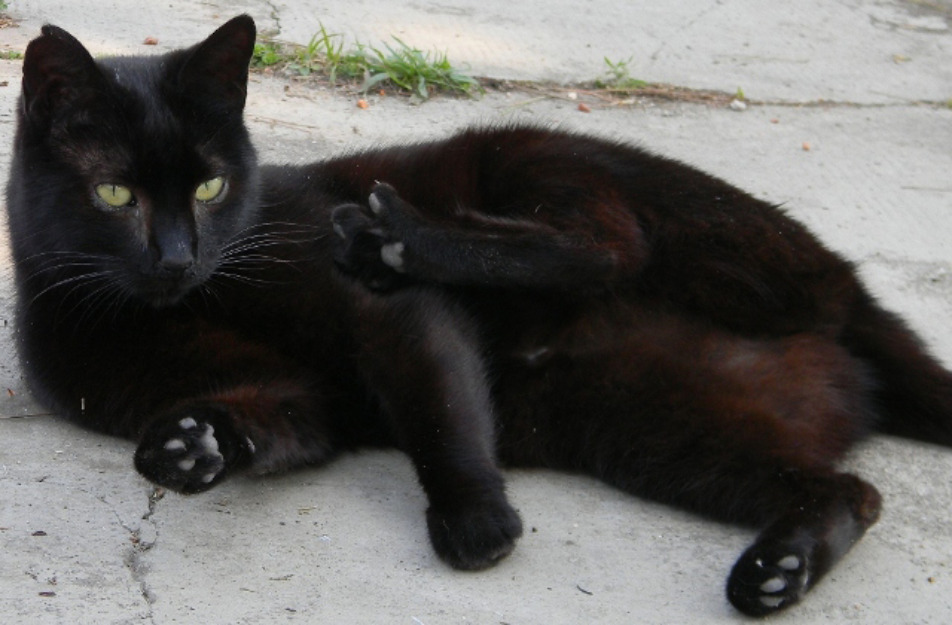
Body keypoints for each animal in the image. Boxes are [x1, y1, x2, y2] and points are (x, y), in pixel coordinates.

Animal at [7, 14, 952, 616]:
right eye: (115, 194)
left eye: (210, 186)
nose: (177, 256)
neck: (188, 301)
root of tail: (850, 307)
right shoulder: (296, 397)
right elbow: (269, 419)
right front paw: (189, 446)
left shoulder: (385, 321)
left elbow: (438, 401)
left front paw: (475, 519)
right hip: (662, 430)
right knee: (852, 489)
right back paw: (778, 570)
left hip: (555, 167)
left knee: (608, 247)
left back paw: (396, 235)